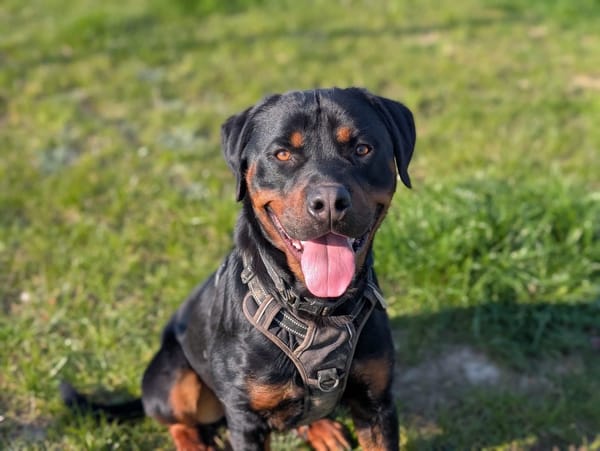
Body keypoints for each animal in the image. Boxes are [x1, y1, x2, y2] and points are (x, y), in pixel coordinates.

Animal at [62, 87, 416, 450]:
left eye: (362, 149)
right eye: (282, 154)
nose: (328, 202)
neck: (318, 309)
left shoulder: (376, 403)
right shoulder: (247, 420)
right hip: (177, 379)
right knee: (175, 419)